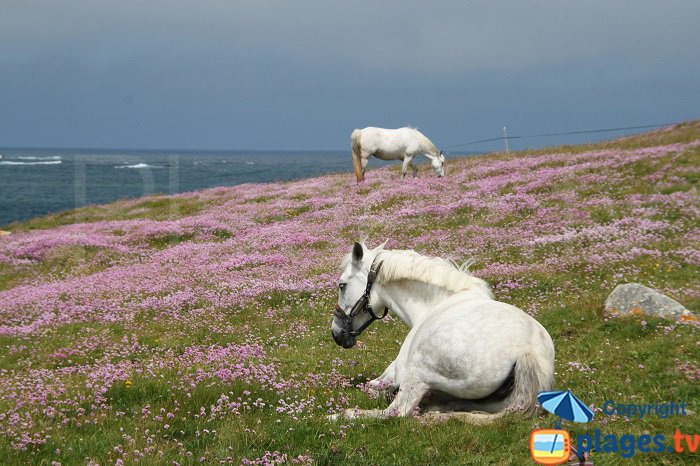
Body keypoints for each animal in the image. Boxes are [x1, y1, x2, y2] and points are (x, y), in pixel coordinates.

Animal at [330, 240, 556, 422]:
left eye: (342, 285)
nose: (336, 333)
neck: (436, 303)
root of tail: (528, 352)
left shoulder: (398, 372)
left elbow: (374, 388)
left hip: (417, 374)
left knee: (396, 412)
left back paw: (338, 416)